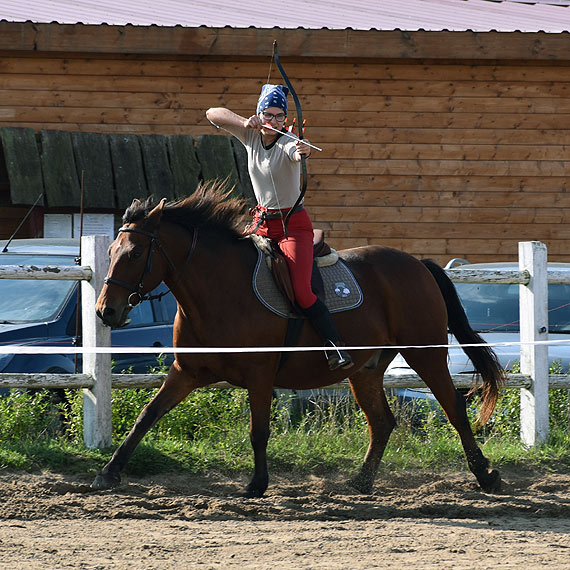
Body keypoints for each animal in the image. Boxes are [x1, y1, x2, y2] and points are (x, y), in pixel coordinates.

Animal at [92, 183, 502, 496]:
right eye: (110, 251)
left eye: (134, 253)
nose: (104, 312)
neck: (219, 290)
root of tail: (419, 264)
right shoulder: (186, 372)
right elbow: (147, 416)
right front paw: (109, 472)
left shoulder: (260, 375)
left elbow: (258, 430)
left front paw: (257, 484)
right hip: (366, 368)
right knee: (382, 421)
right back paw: (361, 481)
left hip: (425, 354)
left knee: (454, 409)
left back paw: (485, 475)